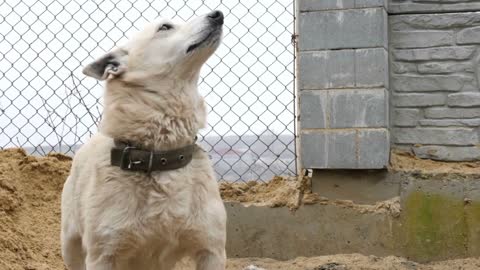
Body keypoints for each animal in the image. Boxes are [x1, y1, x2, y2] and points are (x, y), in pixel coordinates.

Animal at [61, 10, 228, 270]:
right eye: (165, 27)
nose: (217, 14)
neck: (159, 156)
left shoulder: (211, 249)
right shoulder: (103, 255)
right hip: (70, 244)